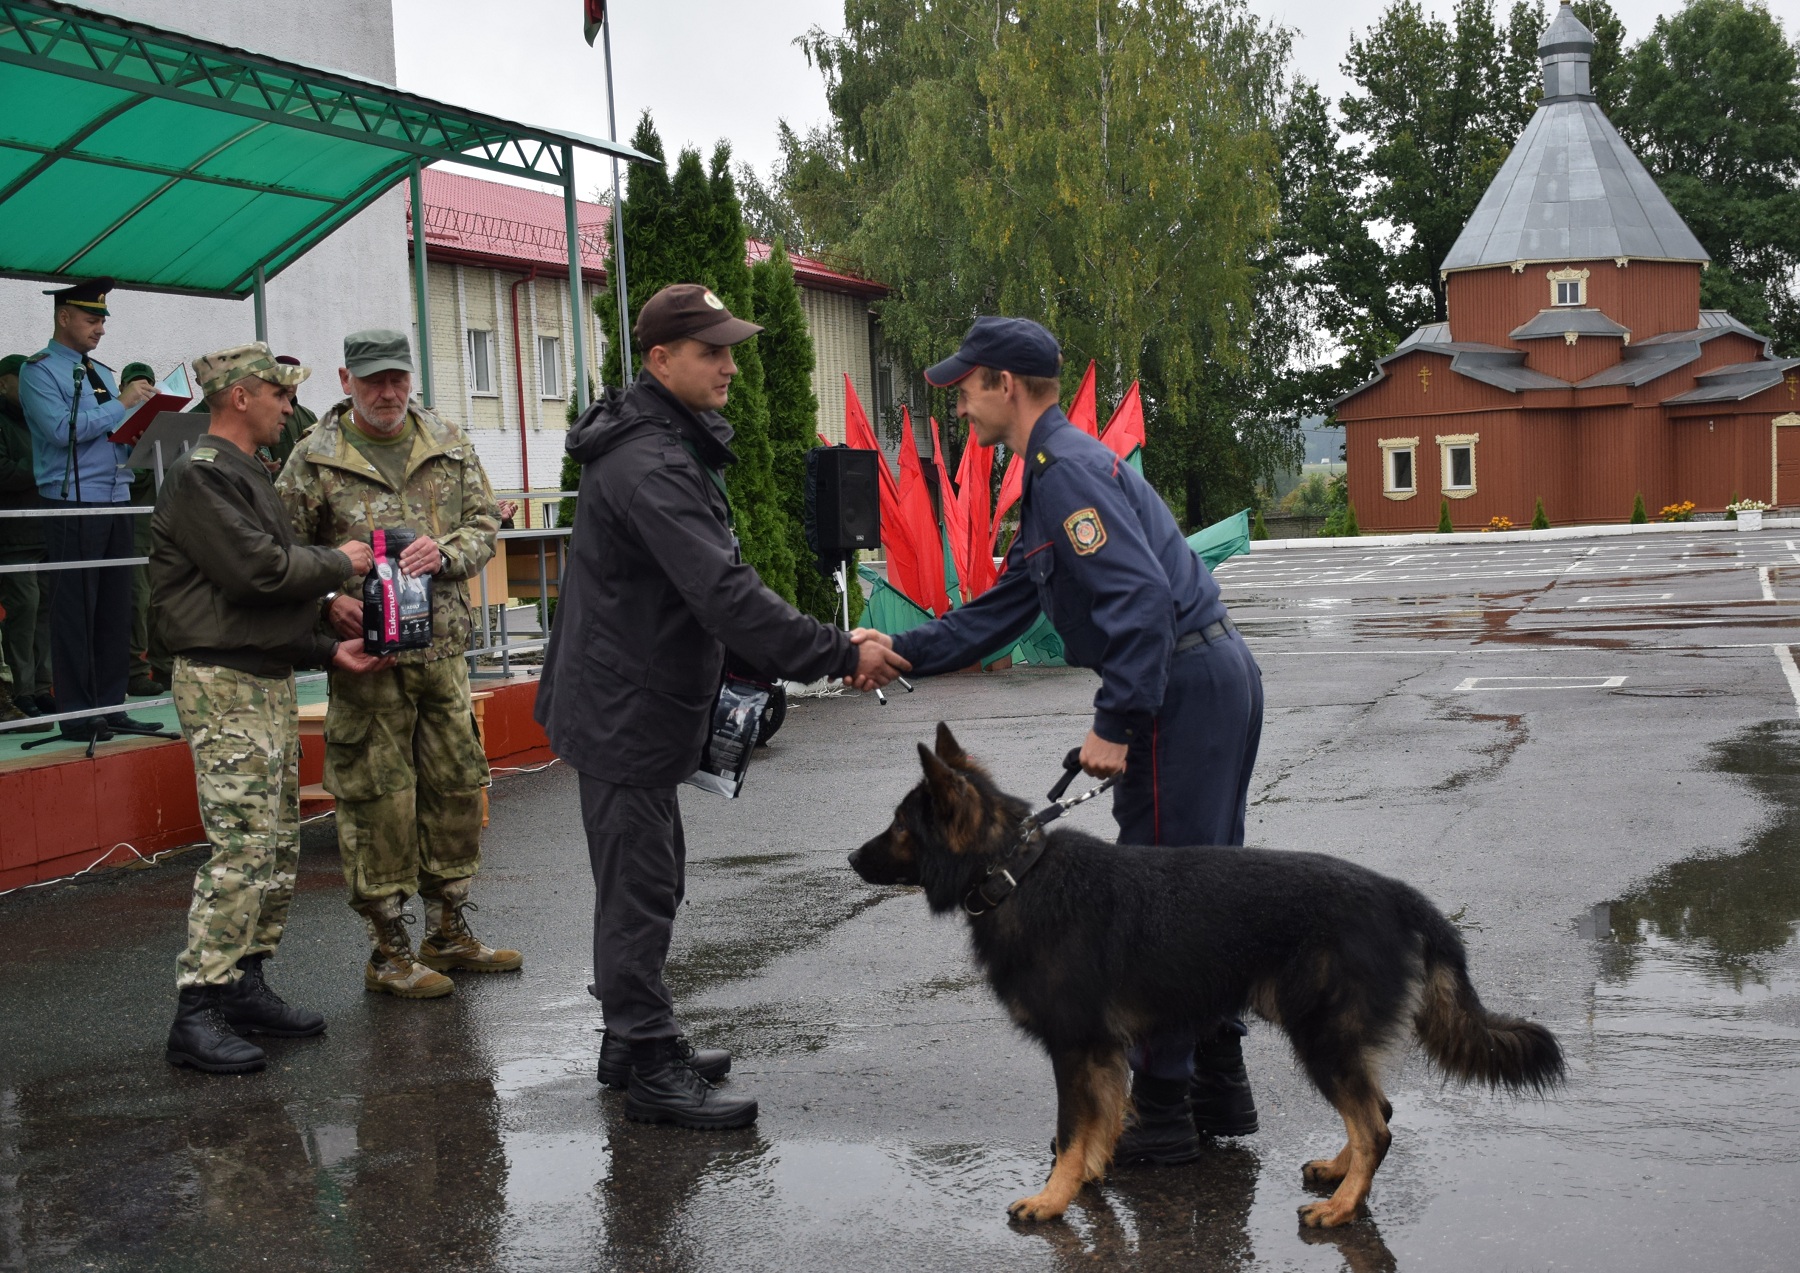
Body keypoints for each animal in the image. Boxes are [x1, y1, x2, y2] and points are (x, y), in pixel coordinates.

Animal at [846, 731, 1562, 1231]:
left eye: (901, 827)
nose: (850, 858)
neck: (1015, 872)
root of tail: (1402, 898)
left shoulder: (1073, 1049)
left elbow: (1072, 1130)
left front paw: (1053, 1199)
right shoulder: (1101, 1054)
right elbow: (1102, 1120)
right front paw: (1093, 1176)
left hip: (1322, 1041)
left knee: (1377, 1128)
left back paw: (1342, 1209)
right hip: (1334, 1044)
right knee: (1377, 1114)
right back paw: (1338, 1173)